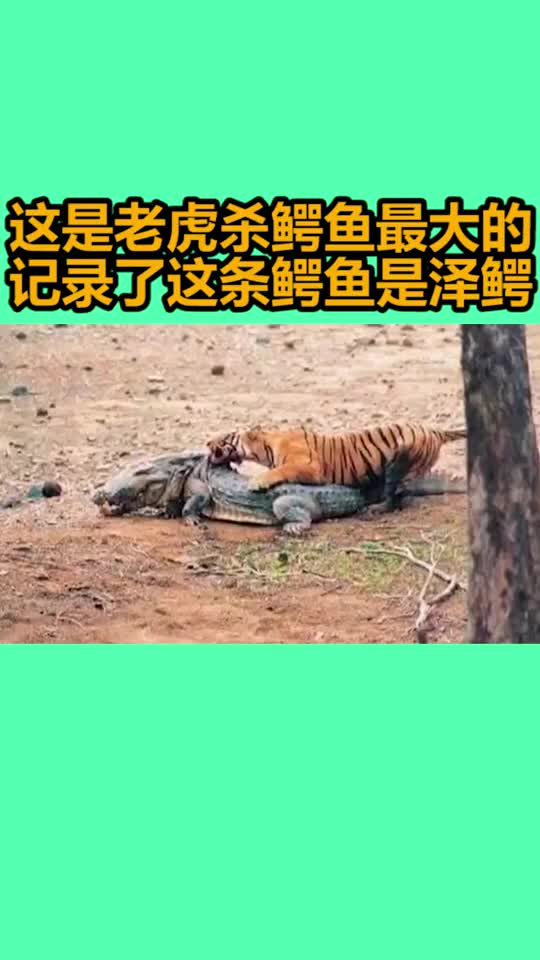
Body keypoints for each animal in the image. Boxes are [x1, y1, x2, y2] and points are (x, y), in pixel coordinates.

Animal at [207, 423, 467, 511]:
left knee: (400, 492)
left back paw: (377, 509)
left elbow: (280, 470)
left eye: (226, 436)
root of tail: (435, 431)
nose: (207, 442)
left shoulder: (310, 467)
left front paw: (257, 482)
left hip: (402, 458)